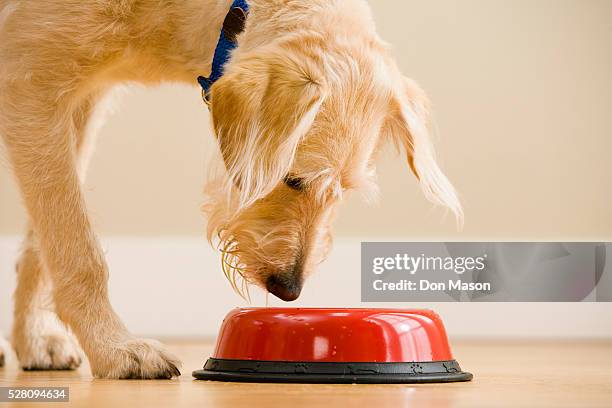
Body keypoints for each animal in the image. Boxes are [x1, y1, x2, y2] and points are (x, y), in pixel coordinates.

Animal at [0, 0, 460, 380]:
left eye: (343, 191)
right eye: (292, 178)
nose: (288, 290)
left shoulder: (79, 100)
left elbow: (44, 241)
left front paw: (35, 339)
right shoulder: (31, 81)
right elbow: (77, 245)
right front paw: (114, 348)